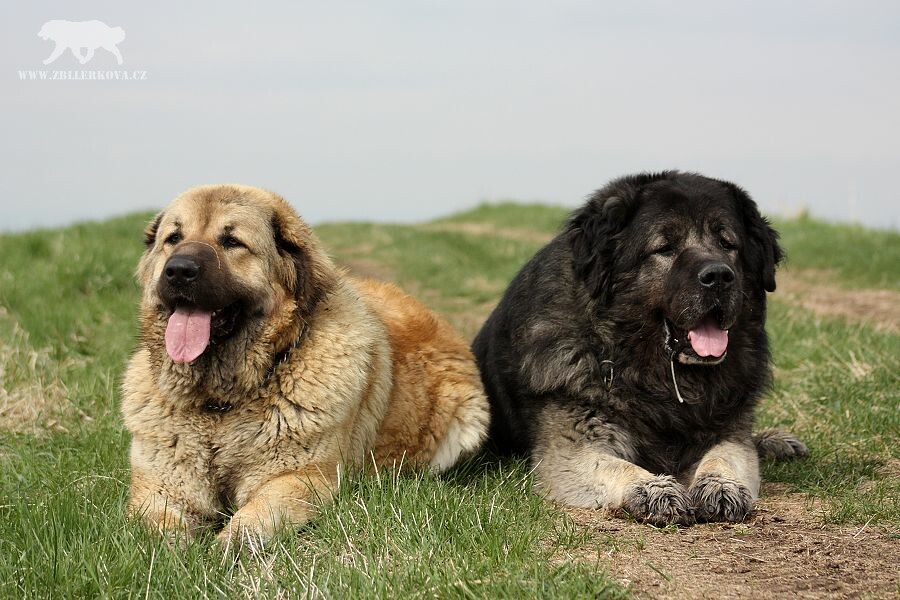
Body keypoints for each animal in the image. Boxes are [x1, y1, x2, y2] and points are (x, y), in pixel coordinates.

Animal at [122, 185, 488, 548]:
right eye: (173, 238)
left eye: (232, 242)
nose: (179, 270)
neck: (222, 404)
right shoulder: (161, 485)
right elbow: (159, 530)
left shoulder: (298, 478)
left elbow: (254, 517)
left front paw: (229, 545)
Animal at [474, 171, 804, 524]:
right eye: (664, 248)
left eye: (728, 244)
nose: (718, 275)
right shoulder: (573, 448)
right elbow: (615, 466)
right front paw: (655, 490)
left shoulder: (728, 428)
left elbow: (726, 455)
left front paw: (721, 486)